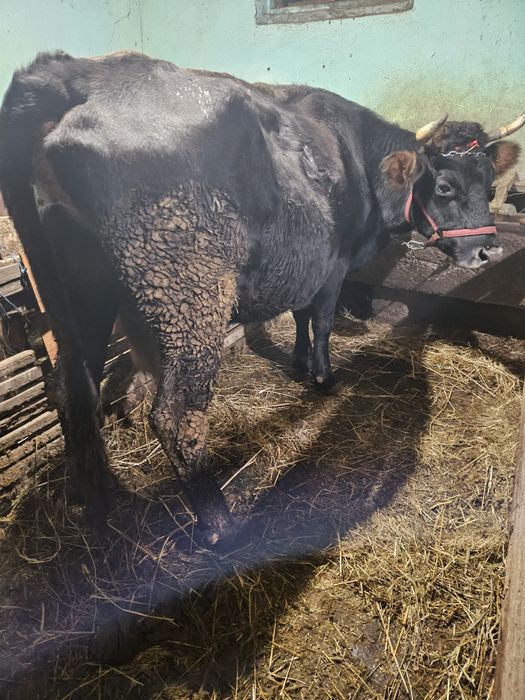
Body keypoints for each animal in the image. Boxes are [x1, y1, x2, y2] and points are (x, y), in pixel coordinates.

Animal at [0, 51, 522, 546]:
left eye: (489, 185)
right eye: (444, 185)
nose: (487, 250)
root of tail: (78, 73)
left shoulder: (306, 264)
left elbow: (300, 314)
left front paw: (297, 362)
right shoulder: (332, 264)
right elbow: (322, 319)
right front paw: (323, 378)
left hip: (78, 286)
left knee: (72, 389)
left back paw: (92, 501)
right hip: (188, 293)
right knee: (176, 416)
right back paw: (220, 528)